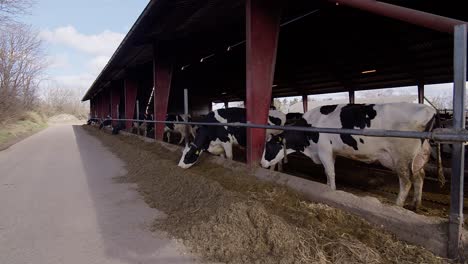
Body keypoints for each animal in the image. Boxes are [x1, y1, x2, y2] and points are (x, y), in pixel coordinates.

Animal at [260, 103, 438, 210]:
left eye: (269, 146)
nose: (261, 164)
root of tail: (430, 110)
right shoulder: (330, 152)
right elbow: (328, 173)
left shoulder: (324, 149)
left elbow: (330, 173)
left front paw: (331, 191)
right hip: (420, 155)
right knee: (419, 177)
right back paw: (416, 205)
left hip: (401, 156)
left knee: (406, 181)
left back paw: (397, 206)